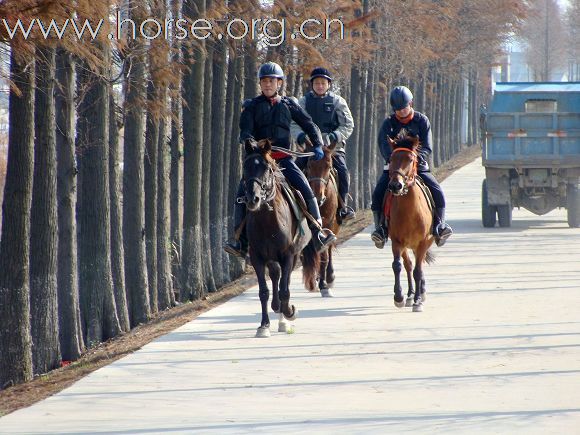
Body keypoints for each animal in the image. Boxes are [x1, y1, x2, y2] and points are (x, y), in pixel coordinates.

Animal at [242, 140, 320, 338]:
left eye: (266, 168)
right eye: (245, 167)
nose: (253, 199)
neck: (267, 219)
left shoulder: (288, 255)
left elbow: (285, 290)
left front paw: (290, 312)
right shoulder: (257, 257)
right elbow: (264, 291)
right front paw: (264, 325)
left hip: (294, 254)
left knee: (285, 282)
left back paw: (283, 317)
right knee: (275, 276)